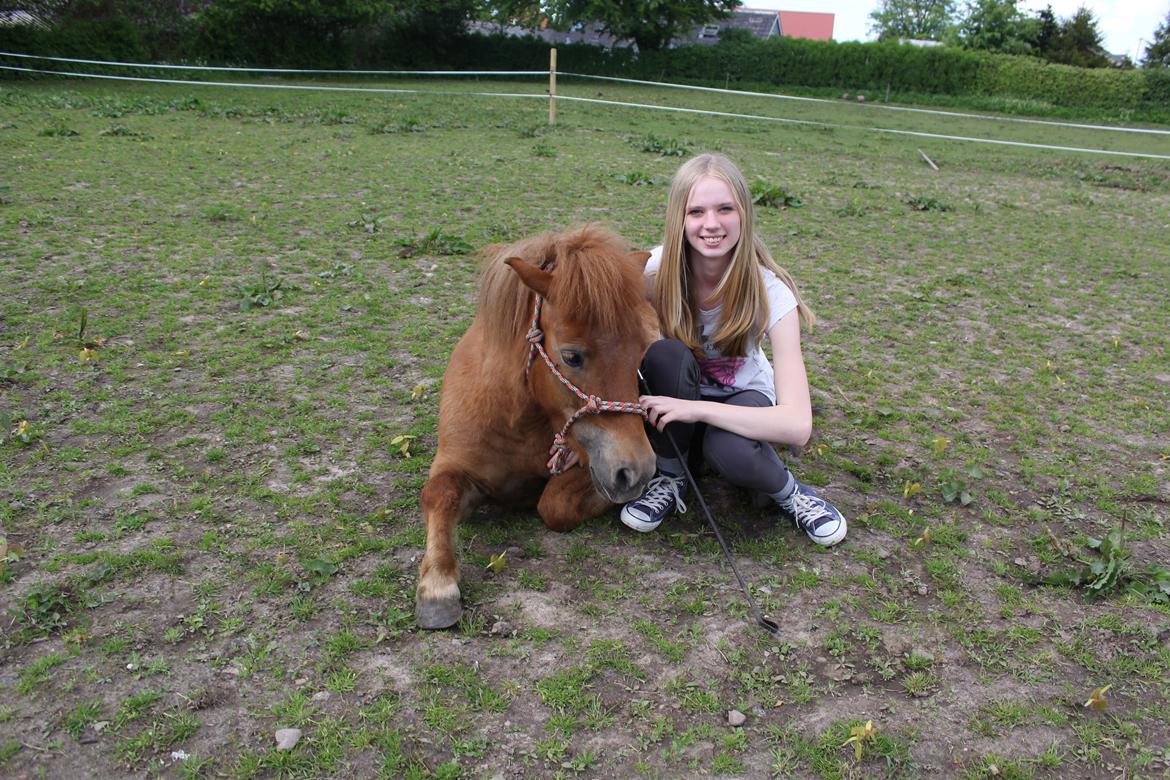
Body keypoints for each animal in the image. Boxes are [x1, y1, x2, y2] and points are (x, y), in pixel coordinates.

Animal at [418, 224, 659, 626]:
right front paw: (437, 585)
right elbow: (439, 494)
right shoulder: (454, 464)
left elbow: (554, 505)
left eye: (644, 351)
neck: (516, 421)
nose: (637, 471)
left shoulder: (584, 462)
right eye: (571, 356)